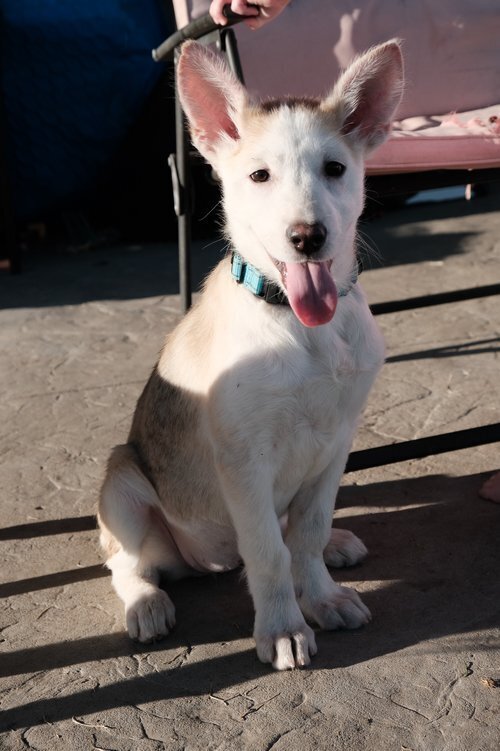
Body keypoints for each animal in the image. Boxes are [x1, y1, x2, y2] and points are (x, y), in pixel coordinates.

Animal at [97, 41, 402, 672]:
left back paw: (338, 545)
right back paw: (146, 604)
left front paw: (323, 596)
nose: (308, 238)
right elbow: (269, 553)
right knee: (129, 564)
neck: (303, 328)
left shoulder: (337, 442)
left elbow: (305, 536)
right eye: (260, 175)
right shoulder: (244, 459)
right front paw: (283, 626)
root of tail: (205, 560)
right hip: (122, 483)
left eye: (335, 169)